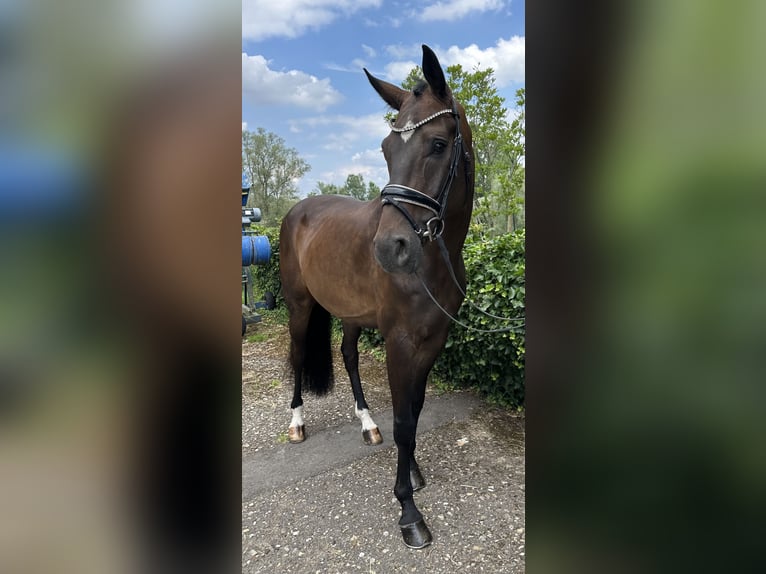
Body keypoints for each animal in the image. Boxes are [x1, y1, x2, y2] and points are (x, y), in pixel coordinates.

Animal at [282, 45, 474, 548]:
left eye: (438, 144)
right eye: (387, 150)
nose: (390, 249)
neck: (434, 261)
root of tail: (298, 209)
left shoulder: (433, 339)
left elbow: (415, 409)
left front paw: (415, 473)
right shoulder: (400, 343)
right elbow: (404, 421)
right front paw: (409, 511)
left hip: (349, 314)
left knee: (348, 357)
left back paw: (367, 424)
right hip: (299, 306)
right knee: (297, 355)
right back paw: (297, 424)